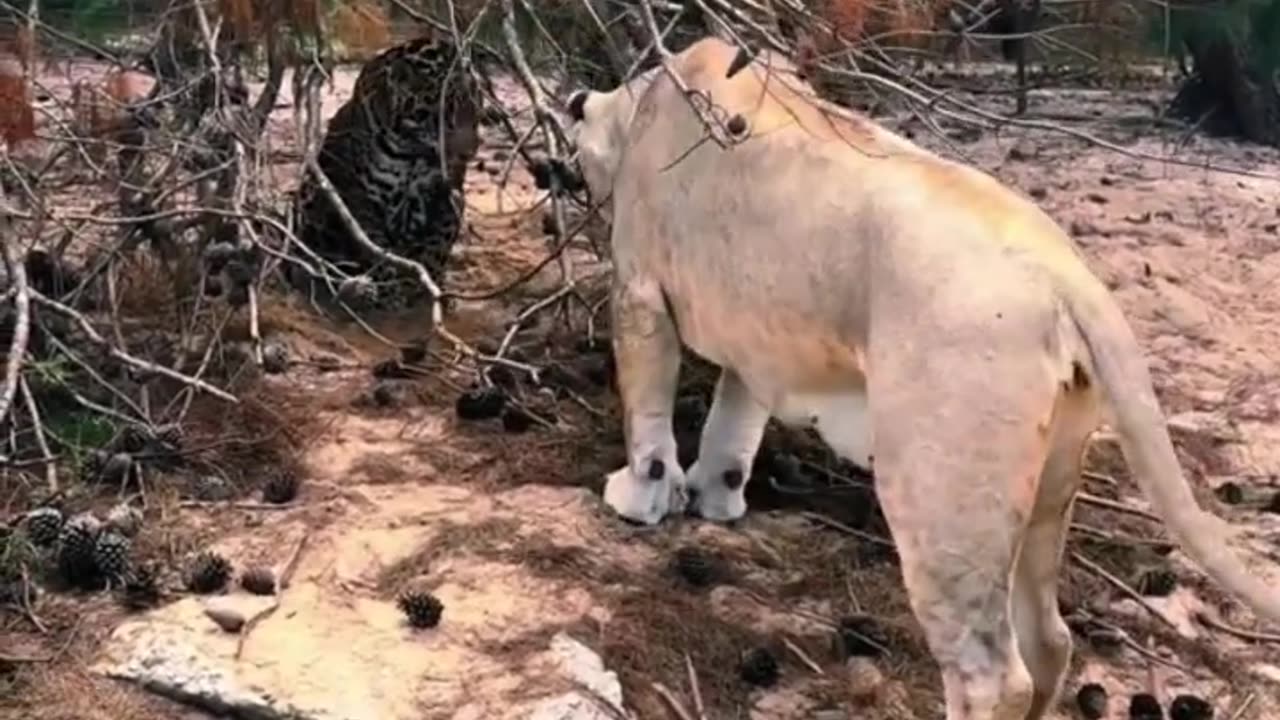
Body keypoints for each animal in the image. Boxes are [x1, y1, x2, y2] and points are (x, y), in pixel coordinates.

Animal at [568, 36, 1280, 717]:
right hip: (1047, 484)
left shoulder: (638, 289)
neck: (642, 104)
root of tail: (1070, 277)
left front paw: (639, 498)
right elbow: (733, 426)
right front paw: (715, 500)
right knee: (1050, 639)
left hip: (939, 488)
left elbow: (649, 414)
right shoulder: (759, 341)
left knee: (991, 676)